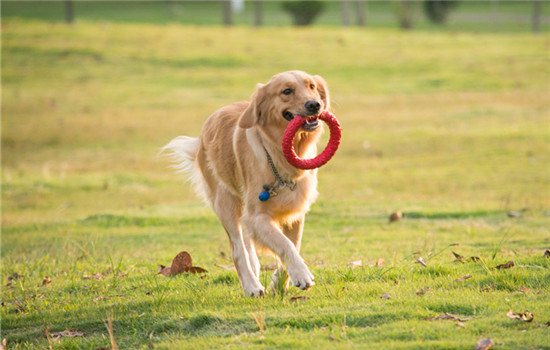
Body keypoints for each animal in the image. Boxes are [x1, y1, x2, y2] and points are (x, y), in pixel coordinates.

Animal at [162, 70, 330, 296]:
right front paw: (301, 274)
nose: (314, 105)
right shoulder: (257, 216)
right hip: (226, 204)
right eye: (287, 91)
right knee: (238, 250)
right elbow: (284, 244)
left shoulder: (294, 213)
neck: (278, 155)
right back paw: (251, 286)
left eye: (311, 86)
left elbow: (293, 245)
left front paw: (279, 283)